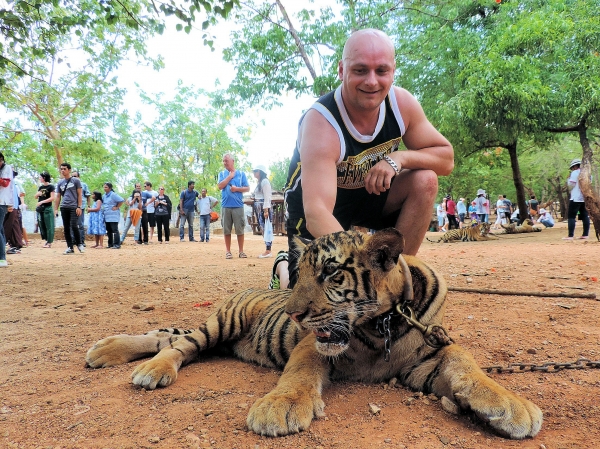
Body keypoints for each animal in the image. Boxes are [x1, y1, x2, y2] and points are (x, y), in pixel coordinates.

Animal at [85, 228, 544, 438]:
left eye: (329, 273)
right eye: (300, 273)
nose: (293, 312)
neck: (384, 324)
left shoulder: (423, 360)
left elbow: (463, 359)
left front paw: (509, 404)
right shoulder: (312, 344)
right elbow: (300, 372)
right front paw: (281, 407)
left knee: (167, 335)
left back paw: (104, 351)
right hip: (223, 322)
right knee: (180, 344)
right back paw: (147, 370)